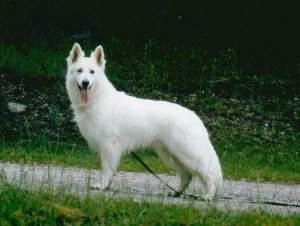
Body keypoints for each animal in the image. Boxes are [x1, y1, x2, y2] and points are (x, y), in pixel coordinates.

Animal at [65, 43, 223, 200]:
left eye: (92, 72)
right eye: (79, 71)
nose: (85, 83)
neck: (97, 99)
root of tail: (194, 116)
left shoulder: (108, 146)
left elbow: (107, 169)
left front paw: (102, 186)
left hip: (187, 153)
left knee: (209, 174)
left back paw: (208, 195)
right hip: (171, 155)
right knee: (187, 175)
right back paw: (176, 192)